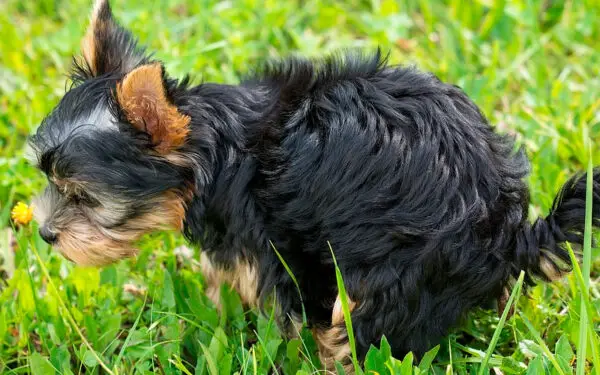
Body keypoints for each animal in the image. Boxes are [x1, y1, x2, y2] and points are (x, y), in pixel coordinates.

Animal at [29, 0, 600, 370]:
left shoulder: (270, 244)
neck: (217, 151)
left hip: (398, 273)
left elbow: (275, 305)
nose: (45, 234)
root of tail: (506, 235)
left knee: (365, 334)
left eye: (83, 197)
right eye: (50, 181)